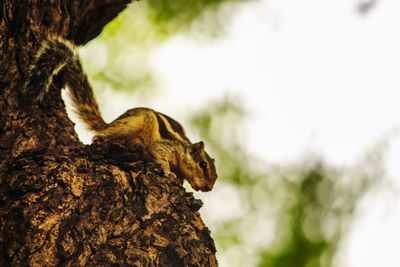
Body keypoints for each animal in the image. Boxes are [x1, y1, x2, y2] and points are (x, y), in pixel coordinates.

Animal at [21, 36, 219, 193]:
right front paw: (168, 172)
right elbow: (157, 154)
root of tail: (110, 123)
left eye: (215, 175)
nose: (208, 188)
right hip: (134, 122)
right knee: (103, 135)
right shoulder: (165, 147)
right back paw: (102, 138)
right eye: (203, 165)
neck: (182, 147)